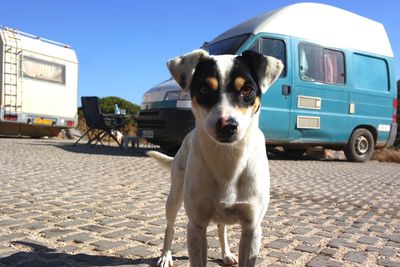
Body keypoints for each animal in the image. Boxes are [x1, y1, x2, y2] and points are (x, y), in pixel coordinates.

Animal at [148, 48, 284, 267]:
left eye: (247, 90)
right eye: (204, 89)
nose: (227, 126)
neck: (227, 159)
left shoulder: (252, 229)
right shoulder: (196, 226)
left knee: (222, 228)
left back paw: (226, 253)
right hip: (174, 196)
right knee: (170, 226)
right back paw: (166, 255)